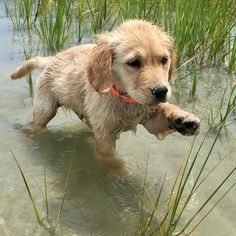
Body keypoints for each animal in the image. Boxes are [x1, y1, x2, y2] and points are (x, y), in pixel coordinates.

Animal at [10, 19, 199, 175]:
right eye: (134, 62)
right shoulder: (105, 137)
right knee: (33, 126)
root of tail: (52, 58)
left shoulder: (149, 115)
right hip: (45, 108)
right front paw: (125, 176)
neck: (126, 98)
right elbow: (115, 162)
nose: (161, 91)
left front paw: (183, 118)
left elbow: (165, 110)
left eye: (164, 60)